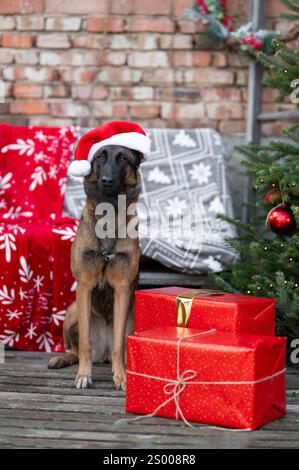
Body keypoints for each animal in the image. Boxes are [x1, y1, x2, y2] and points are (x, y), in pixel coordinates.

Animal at [48, 143, 144, 390]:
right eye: (100, 157)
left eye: (123, 159)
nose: (107, 180)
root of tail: (104, 354)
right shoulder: (85, 286)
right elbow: (84, 344)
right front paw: (84, 375)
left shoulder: (122, 289)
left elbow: (120, 344)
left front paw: (121, 377)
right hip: (72, 310)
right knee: (76, 348)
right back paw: (62, 359)